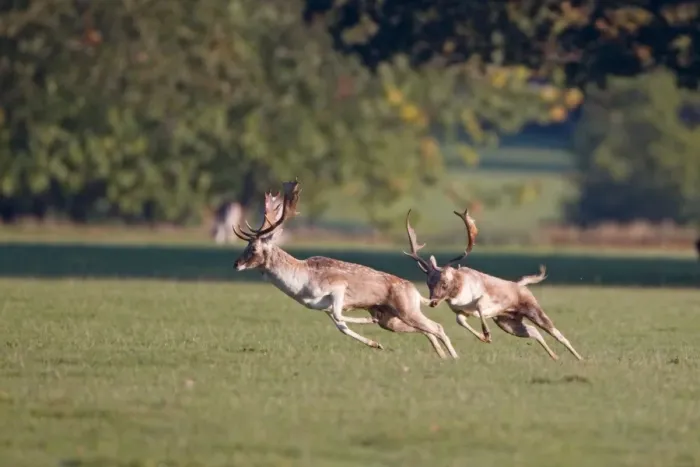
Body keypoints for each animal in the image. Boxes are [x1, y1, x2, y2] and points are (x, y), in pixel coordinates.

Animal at [231, 180, 459, 359]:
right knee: (427, 330)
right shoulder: (322, 308)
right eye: (246, 245)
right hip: (393, 319)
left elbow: (340, 316)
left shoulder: (337, 288)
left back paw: (455, 358)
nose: (236, 264)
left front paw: (368, 322)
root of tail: (415, 291)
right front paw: (376, 344)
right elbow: (341, 326)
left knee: (437, 327)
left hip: (407, 310)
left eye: (253, 248)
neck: (301, 284)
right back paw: (442, 355)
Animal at [402, 208, 583, 361]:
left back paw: (580, 358)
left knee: (557, 334)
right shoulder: (463, 312)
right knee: (533, 331)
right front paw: (484, 338)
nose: (433, 302)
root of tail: (521, 285)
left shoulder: (483, 300)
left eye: (444, 282)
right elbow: (459, 320)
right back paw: (555, 357)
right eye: (428, 283)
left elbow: (480, 305)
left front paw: (487, 334)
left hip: (533, 311)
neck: (460, 291)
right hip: (508, 323)